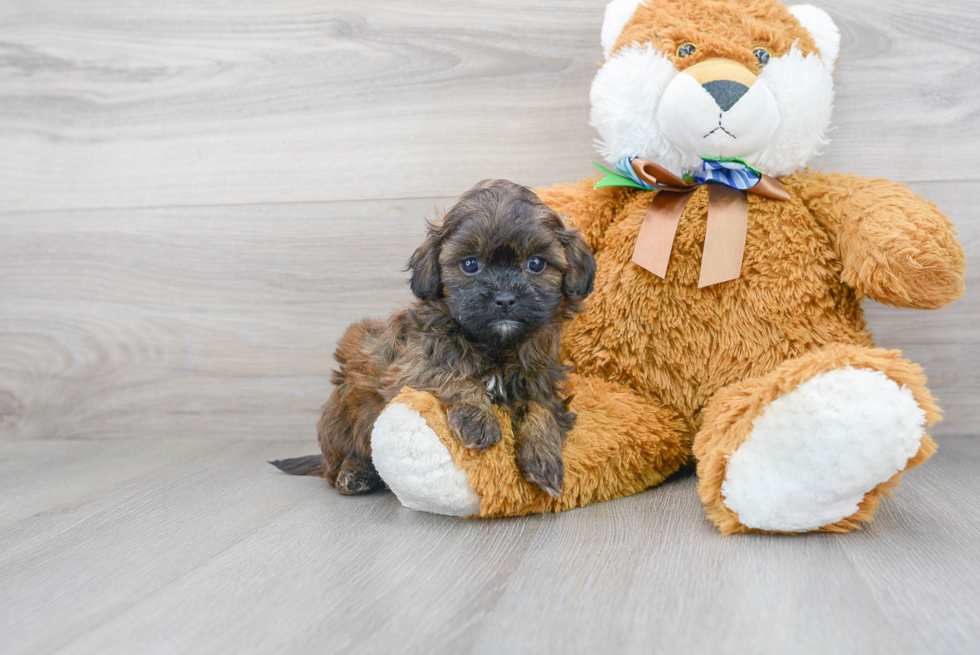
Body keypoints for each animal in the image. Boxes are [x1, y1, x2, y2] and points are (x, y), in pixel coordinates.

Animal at [276, 179, 596, 498]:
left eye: (536, 264)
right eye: (470, 265)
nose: (504, 299)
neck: (494, 345)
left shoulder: (540, 375)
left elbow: (542, 407)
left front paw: (543, 458)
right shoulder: (412, 365)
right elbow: (451, 373)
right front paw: (478, 419)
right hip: (343, 411)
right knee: (339, 462)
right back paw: (354, 473)